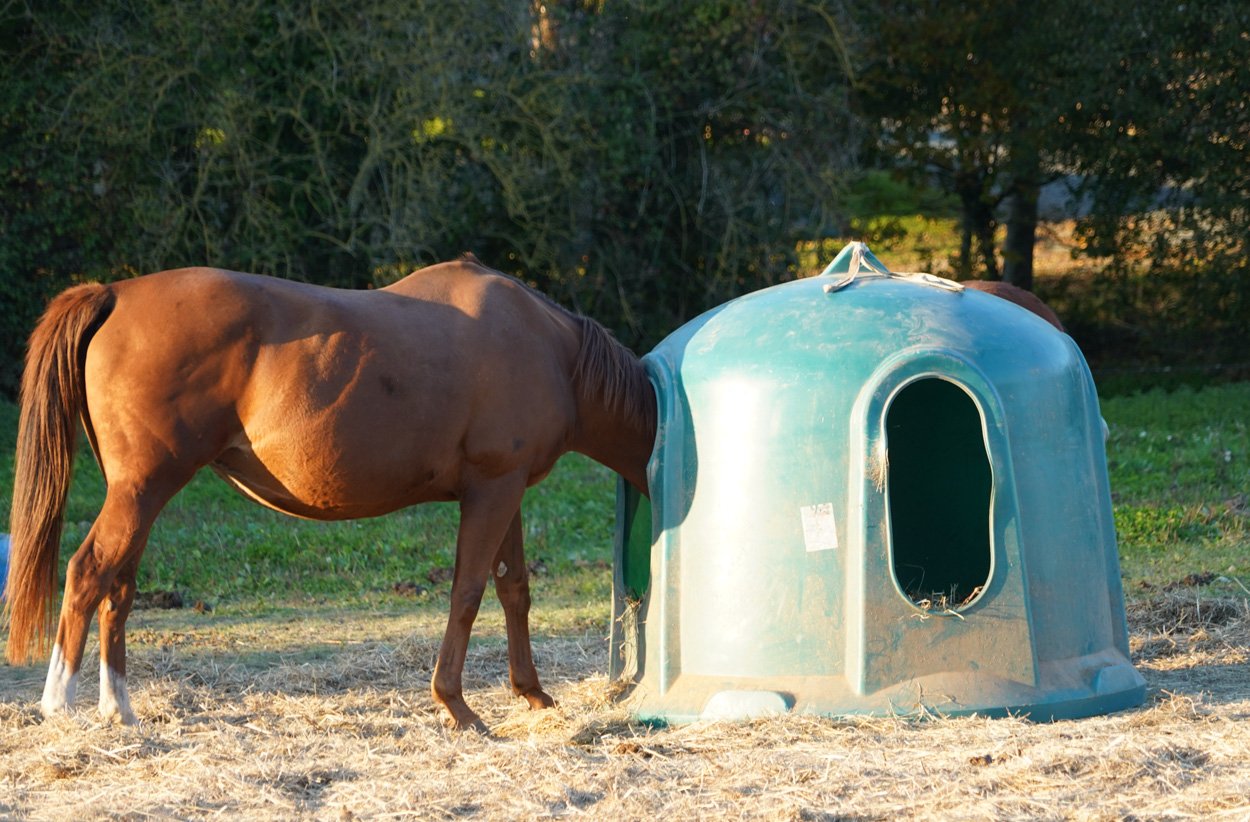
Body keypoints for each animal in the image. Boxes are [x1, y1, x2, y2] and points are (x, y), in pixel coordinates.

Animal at [5, 257, 656, 732]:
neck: (549, 349)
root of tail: (113, 292)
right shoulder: (492, 490)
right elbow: (468, 592)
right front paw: (456, 705)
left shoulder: (507, 489)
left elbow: (513, 589)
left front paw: (534, 694)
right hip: (142, 489)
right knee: (89, 572)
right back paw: (59, 706)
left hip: (139, 495)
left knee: (118, 586)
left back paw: (120, 711)